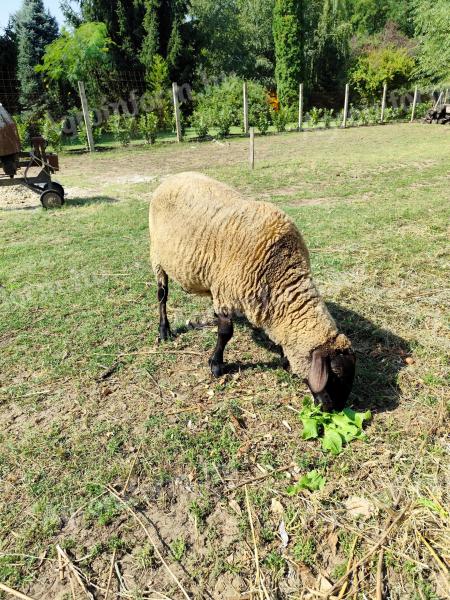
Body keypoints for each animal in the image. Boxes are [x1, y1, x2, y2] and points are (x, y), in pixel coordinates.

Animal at [149, 171, 356, 410]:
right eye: (335, 376)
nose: (332, 410)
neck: (278, 272)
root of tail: (172, 178)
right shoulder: (227, 294)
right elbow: (225, 333)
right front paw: (216, 365)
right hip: (157, 257)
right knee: (162, 296)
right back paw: (164, 331)